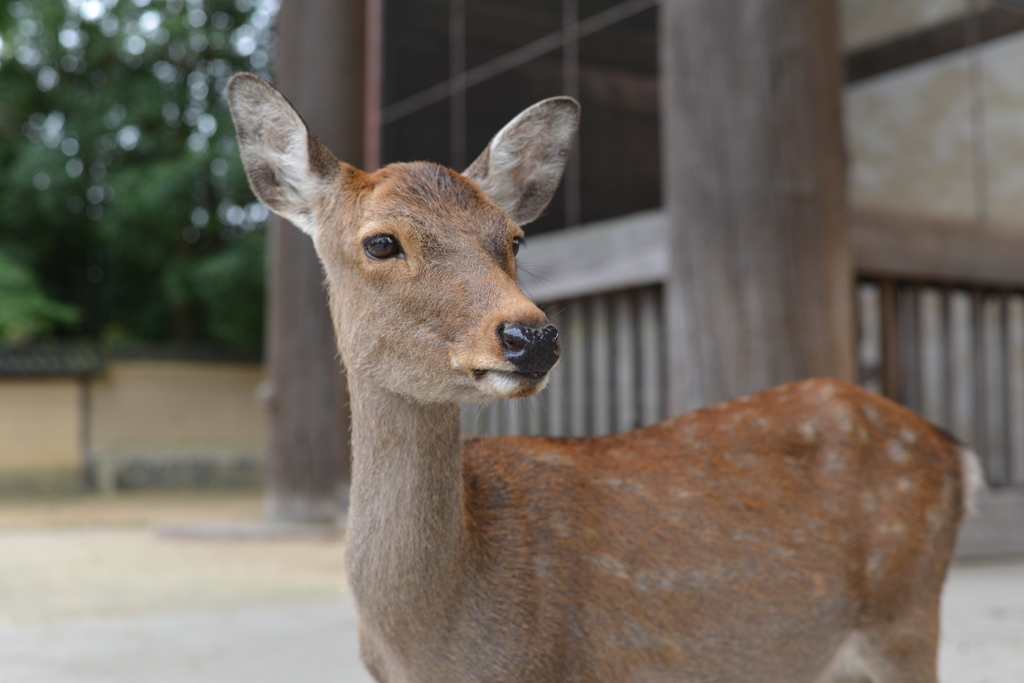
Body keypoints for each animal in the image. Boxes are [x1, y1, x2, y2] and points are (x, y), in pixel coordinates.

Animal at [228, 74, 978, 683]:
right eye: (381, 241)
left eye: (514, 238)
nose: (531, 335)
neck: (438, 645)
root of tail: (954, 452)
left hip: (904, 618)